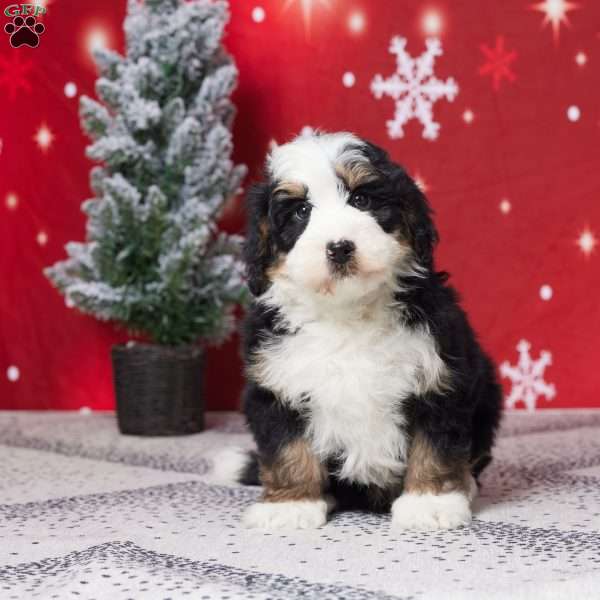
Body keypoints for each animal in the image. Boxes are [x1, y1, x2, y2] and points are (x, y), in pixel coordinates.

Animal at [225, 131, 502, 528]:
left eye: (361, 199)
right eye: (301, 212)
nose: (340, 247)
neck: (348, 313)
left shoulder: (439, 375)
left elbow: (435, 443)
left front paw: (430, 502)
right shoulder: (275, 384)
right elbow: (286, 447)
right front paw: (290, 505)